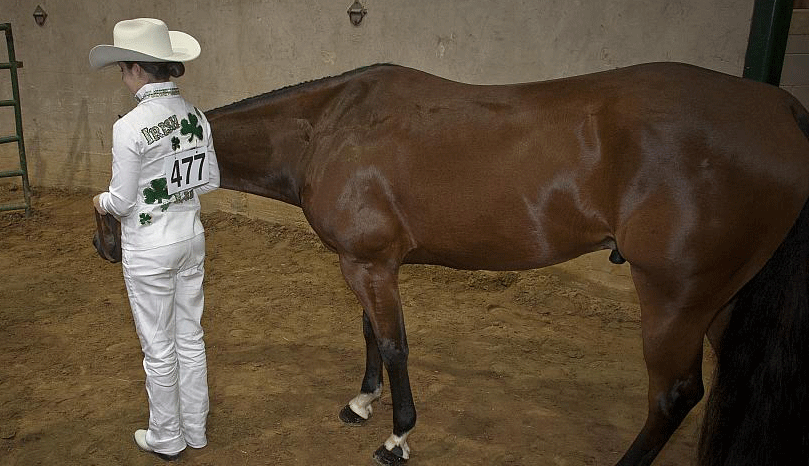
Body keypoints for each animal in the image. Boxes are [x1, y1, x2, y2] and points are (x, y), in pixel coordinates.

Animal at [205, 62, 808, 466]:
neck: (329, 127)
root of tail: (782, 110)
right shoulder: (364, 263)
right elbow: (371, 333)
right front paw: (362, 401)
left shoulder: (371, 265)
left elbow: (395, 345)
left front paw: (398, 436)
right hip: (721, 304)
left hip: (675, 301)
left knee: (674, 395)